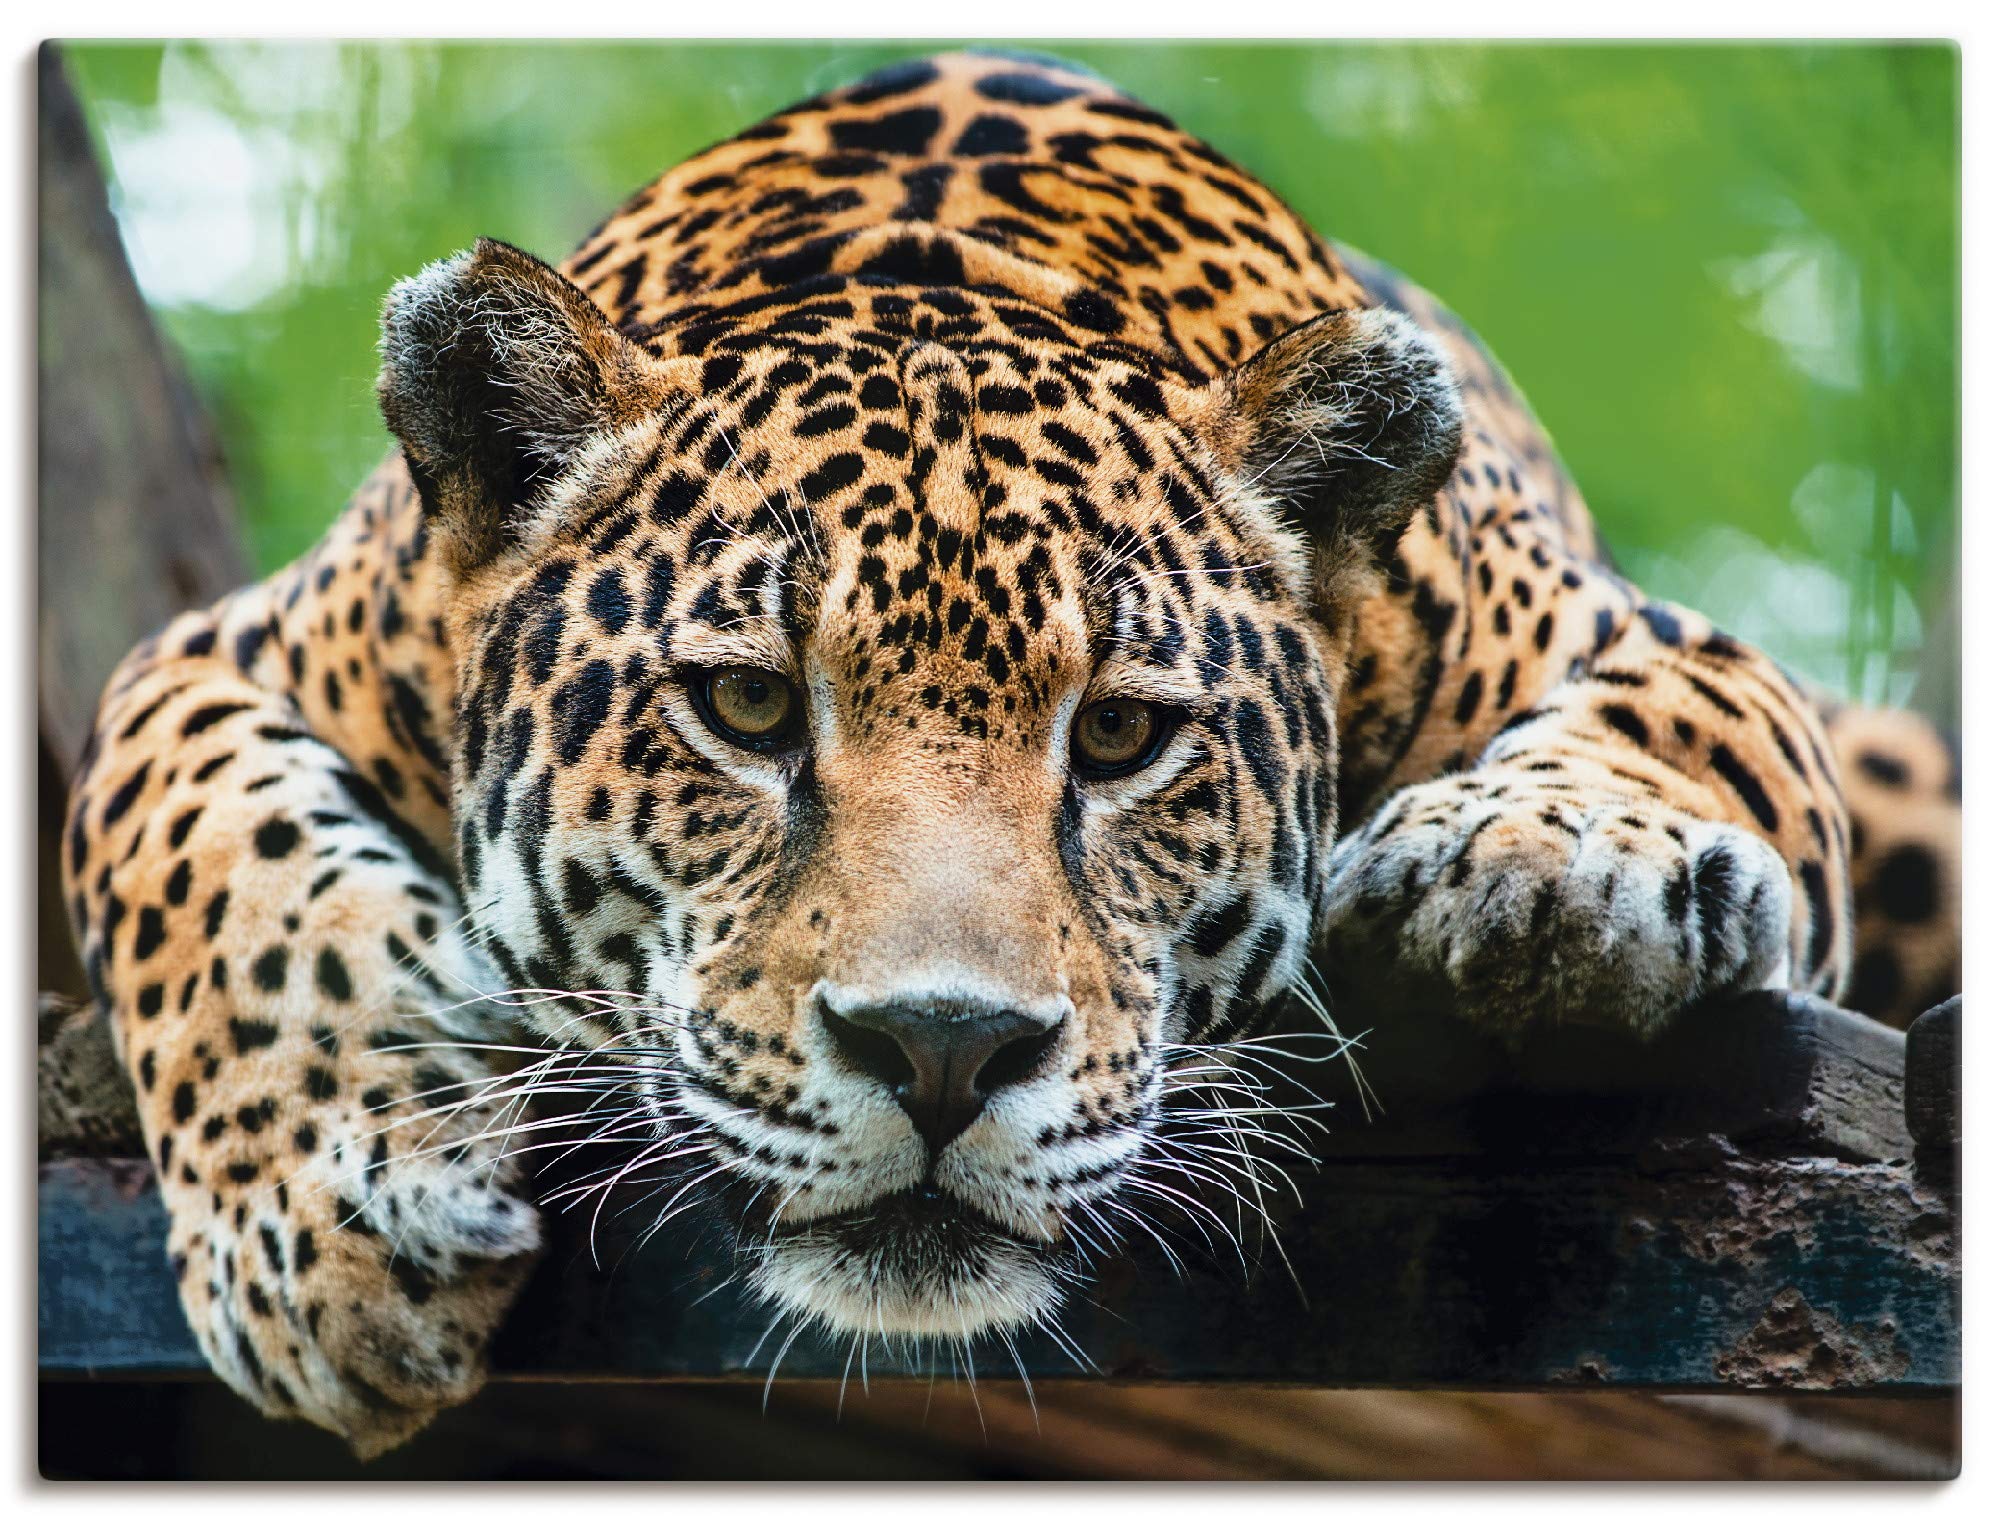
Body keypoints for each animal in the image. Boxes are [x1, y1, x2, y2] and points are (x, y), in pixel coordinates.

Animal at [61, 50, 1961, 1455]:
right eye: (749, 708)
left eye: (1119, 734)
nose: (942, 1049)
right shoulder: (225, 649)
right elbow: (202, 859)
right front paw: (326, 1227)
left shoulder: (1641, 634)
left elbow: (1692, 723)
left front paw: (1549, 861)